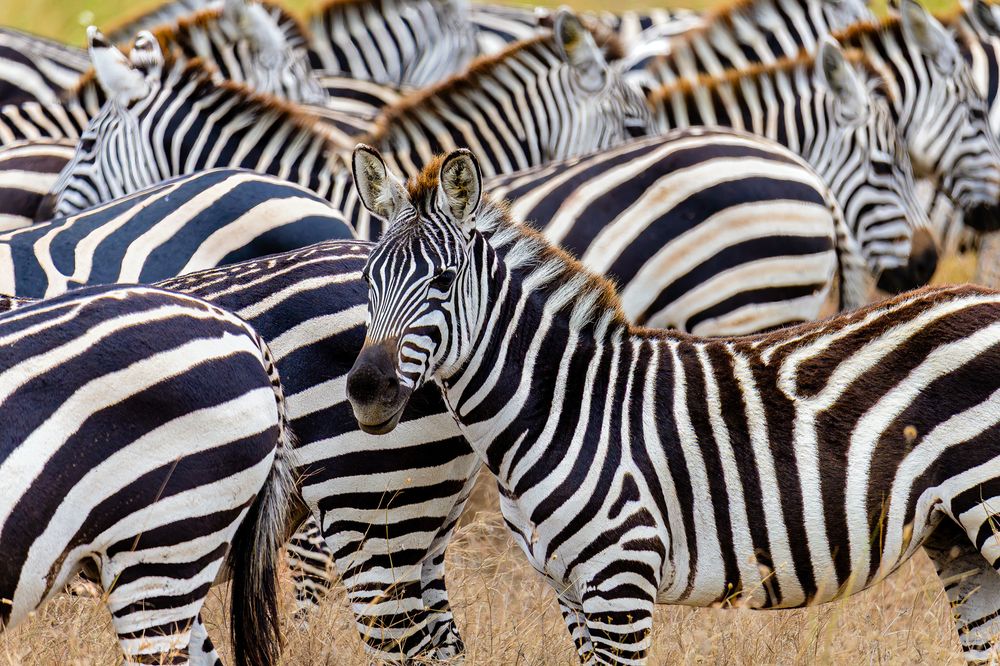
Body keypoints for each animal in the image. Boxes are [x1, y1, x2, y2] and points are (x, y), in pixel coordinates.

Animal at [346, 145, 1000, 665]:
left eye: (443, 281)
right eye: (367, 280)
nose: (366, 390)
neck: (562, 406)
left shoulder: (620, 580)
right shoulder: (569, 590)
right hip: (959, 543)